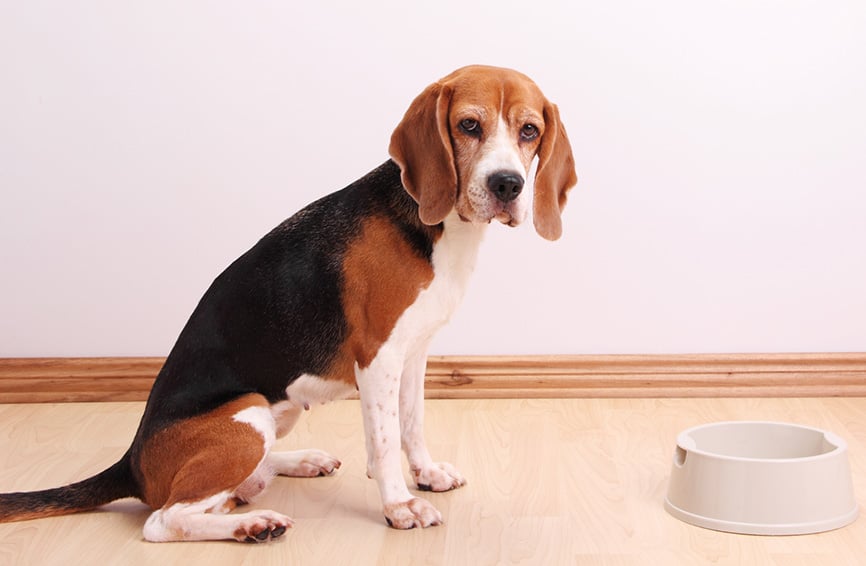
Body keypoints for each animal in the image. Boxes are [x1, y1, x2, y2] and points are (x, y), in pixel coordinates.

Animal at [3, 64, 576, 544]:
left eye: (529, 131)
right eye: (468, 125)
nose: (507, 185)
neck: (437, 225)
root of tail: (132, 461)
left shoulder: (415, 352)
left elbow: (410, 424)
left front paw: (426, 474)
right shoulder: (378, 359)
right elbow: (384, 440)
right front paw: (399, 505)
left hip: (279, 412)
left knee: (238, 482)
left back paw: (296, 464)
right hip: (249, 413)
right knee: (165, 520)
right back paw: (252, 524)